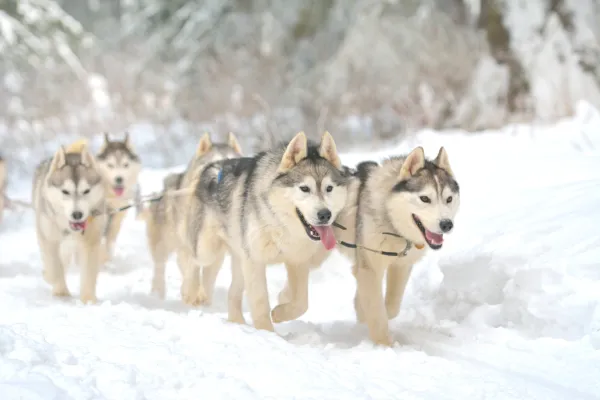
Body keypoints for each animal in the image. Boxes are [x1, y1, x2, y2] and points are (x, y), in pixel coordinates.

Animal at [31, 139, 107, 302]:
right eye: (65, 191)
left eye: (86, 191)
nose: (77, 214)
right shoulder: (48, 238)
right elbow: (54, 266)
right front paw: (60, 292)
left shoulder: (90, 241)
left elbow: (88, 272)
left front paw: (88, 300)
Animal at [138, 133, 244, 298]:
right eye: (212, 164)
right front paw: (192, 292)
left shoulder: (217, 252)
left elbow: (208, 276)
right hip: (164, 243)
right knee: (160, 266)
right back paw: (158, 292)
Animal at [178, 131, 346, 332]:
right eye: (305, 188)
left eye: (329, 188)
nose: (325, 214)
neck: (278, 223)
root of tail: (213, 165)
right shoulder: (255, 262)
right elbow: (260, 302)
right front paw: (267, 332)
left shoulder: (297, 261)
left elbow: (301, 303)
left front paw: (279, 313)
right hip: (208, 251)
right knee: (192, 261)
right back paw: (190, 292)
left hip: (239, 260)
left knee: (232, 292)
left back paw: (237, 322)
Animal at [332, 145, 460, 346]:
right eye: (425, 198)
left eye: (448, 199)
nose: (446, 224)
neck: (391, 222)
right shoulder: (370, 267)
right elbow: (377, 313)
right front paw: (384, 345)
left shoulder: (401, 265)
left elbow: (391, 306)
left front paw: (362, 312)